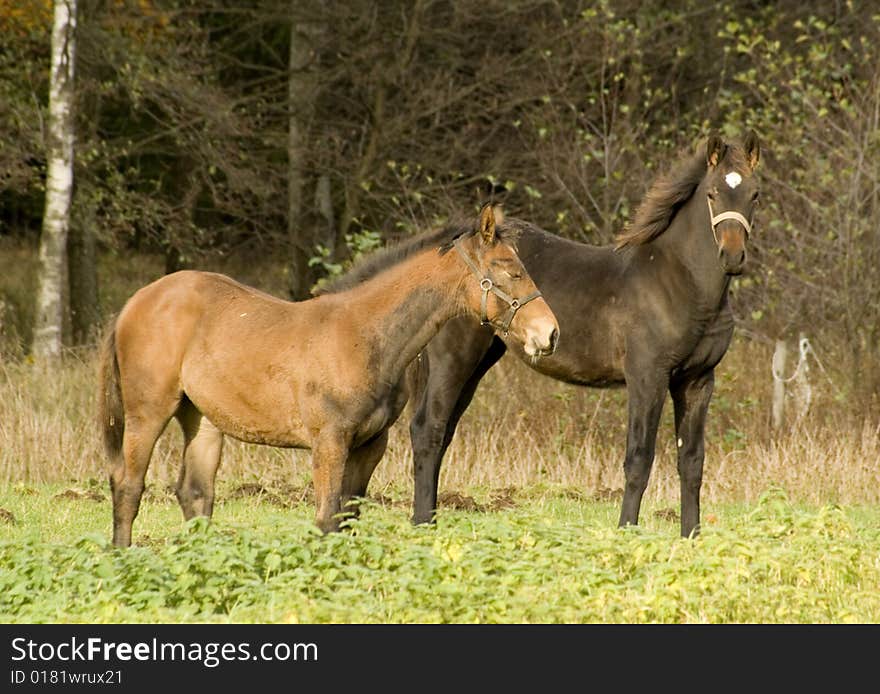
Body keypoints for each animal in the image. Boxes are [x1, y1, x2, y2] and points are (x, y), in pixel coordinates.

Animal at [99, 204, 560, 548]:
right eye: (510, 269)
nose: (550, 333)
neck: (366, 335)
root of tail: (135, 302)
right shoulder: (330, 442)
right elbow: (325, 520)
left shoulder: (370, 445)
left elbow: (347, 519)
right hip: (148, 412)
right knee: (128, 485)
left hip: (203, 420)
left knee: (195, 494)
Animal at [334, 133, 760, 540]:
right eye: (712, 193)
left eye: (754, 195)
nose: (732, 257)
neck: (679, 283)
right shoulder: (647, 376)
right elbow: (639, 458)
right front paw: (626, 533)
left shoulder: (697, 380)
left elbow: (692, 461)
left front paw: (692, 538)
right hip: (453, 360)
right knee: (428, 430)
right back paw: (424, 524)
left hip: (478, 364)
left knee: (443, 434)